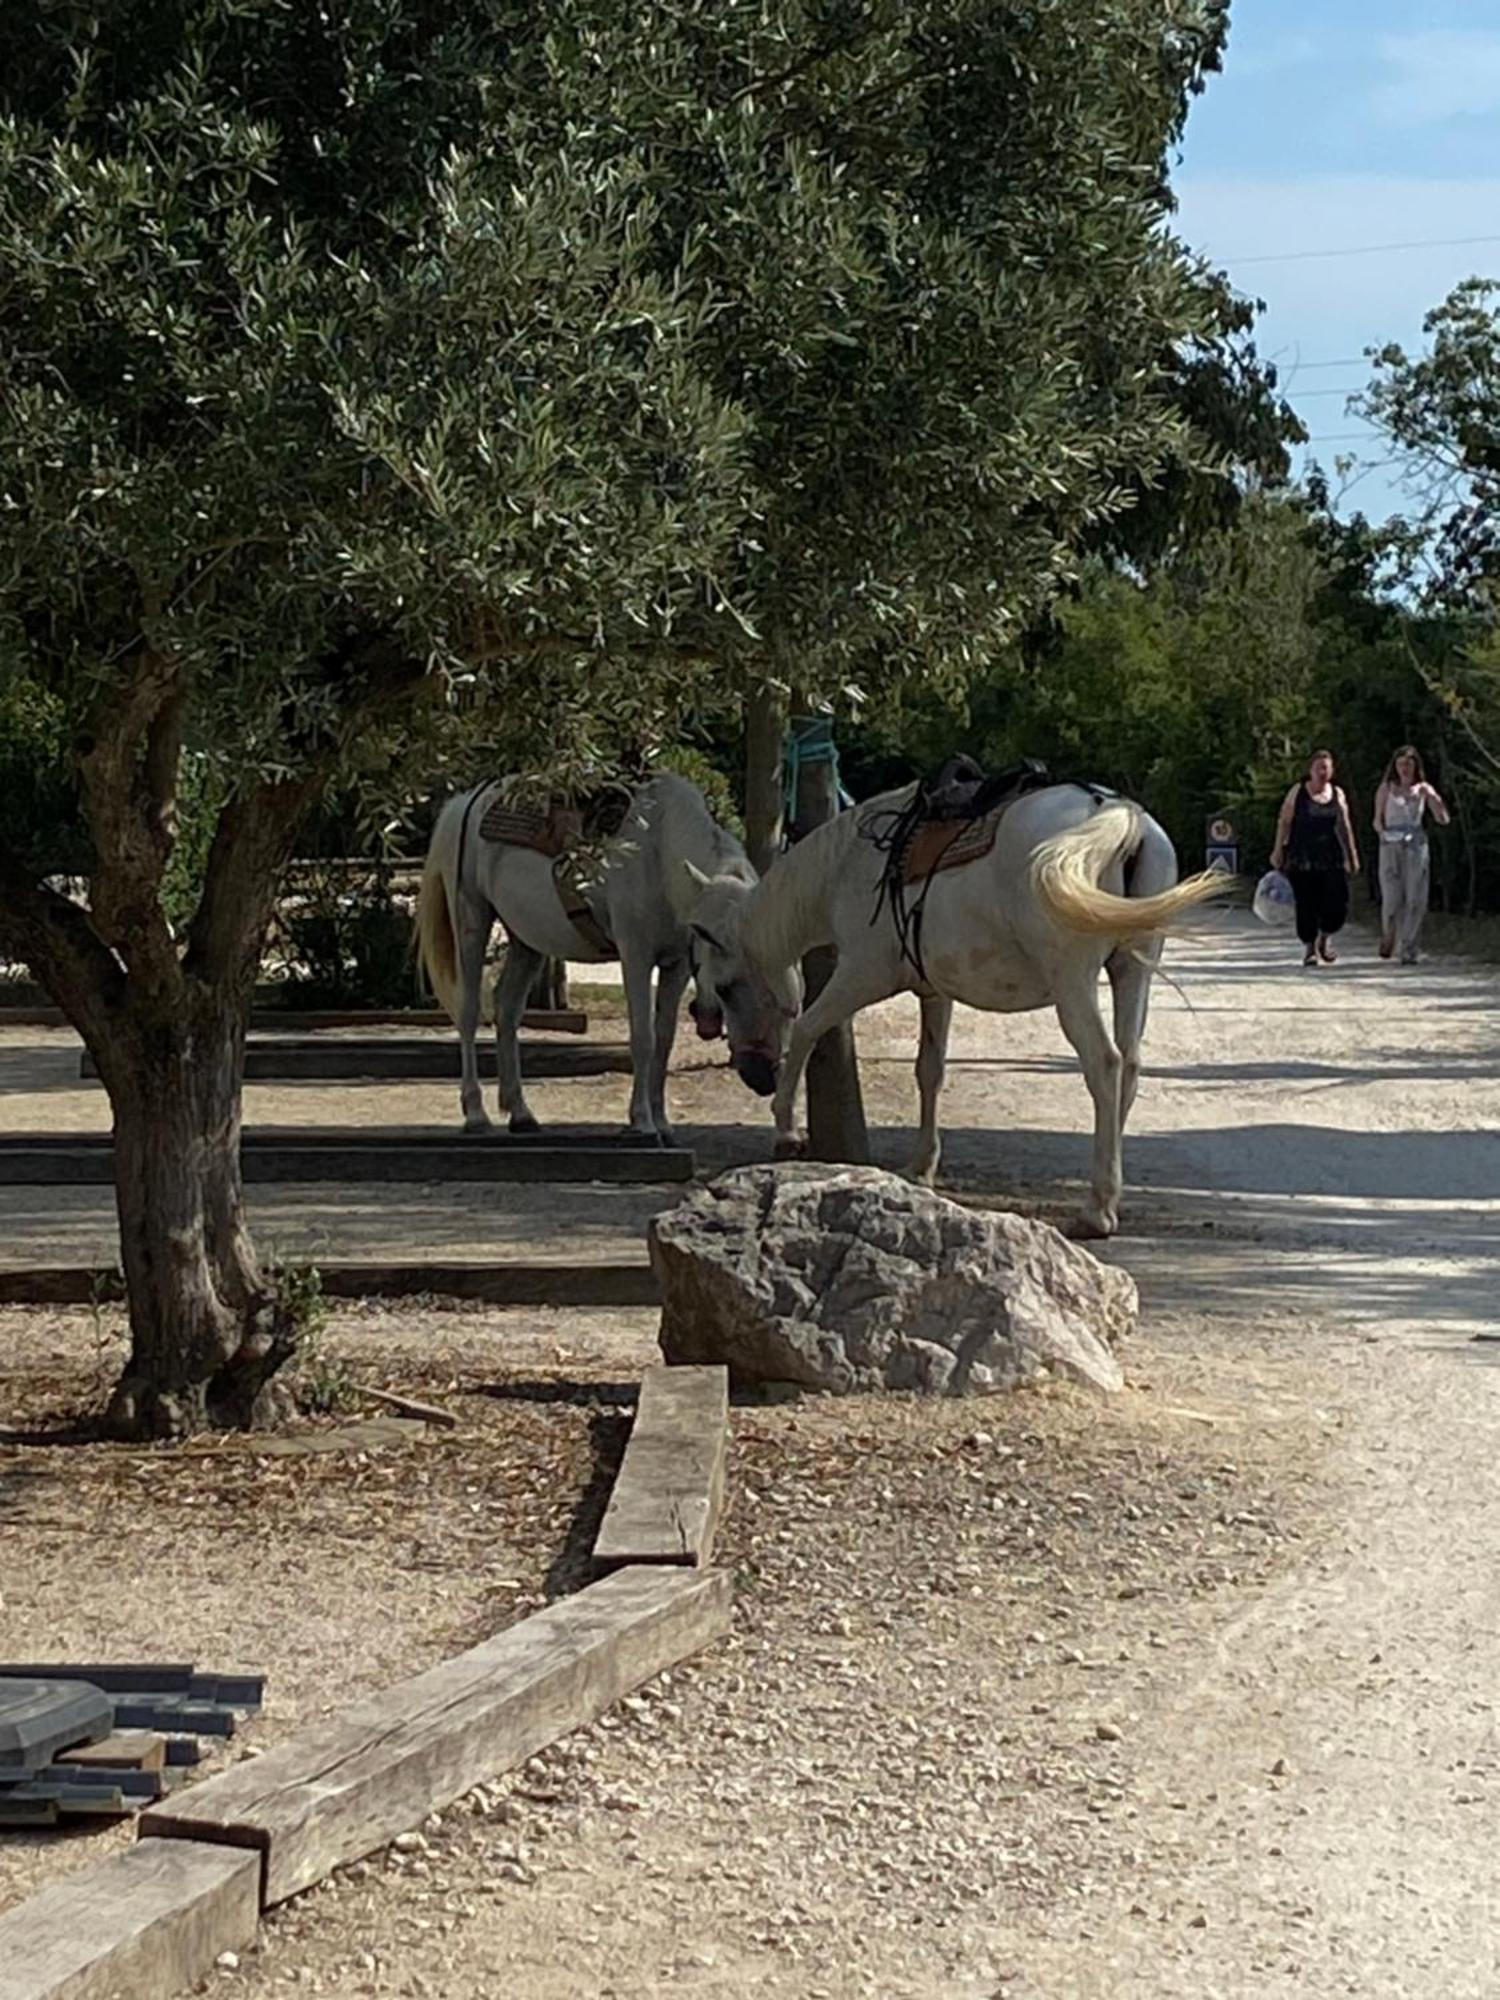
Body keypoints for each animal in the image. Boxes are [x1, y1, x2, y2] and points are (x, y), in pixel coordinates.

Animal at [418, 768, 752, 1144]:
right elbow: (643, 1038)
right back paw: (476, 1114)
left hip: (527, 941)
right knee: (469, 1011)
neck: (658, 855)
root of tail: (466, 803)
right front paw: (642, 1122)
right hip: (471, 922)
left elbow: (664, 1041)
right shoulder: (635, 955)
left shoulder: (676, 965)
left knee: (507, 1009)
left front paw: (663, 1123)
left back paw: (520, 1113)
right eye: (706, 933)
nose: (710, 1015)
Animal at [688, 780, 1224, 1232]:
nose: (754, 1076)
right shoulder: (935, 992)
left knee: (1105, 1064)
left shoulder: (861, 975)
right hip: (1132, 972)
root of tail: (1115, 814)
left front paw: (786, 1128)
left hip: (1073, 982)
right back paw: (1109, 1189)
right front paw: (921, 1166)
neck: (848, 867)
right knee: (1129, 1065)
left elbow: (806, 1029)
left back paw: (1097, 1208)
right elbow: (930, 1070)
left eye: (729, 988)